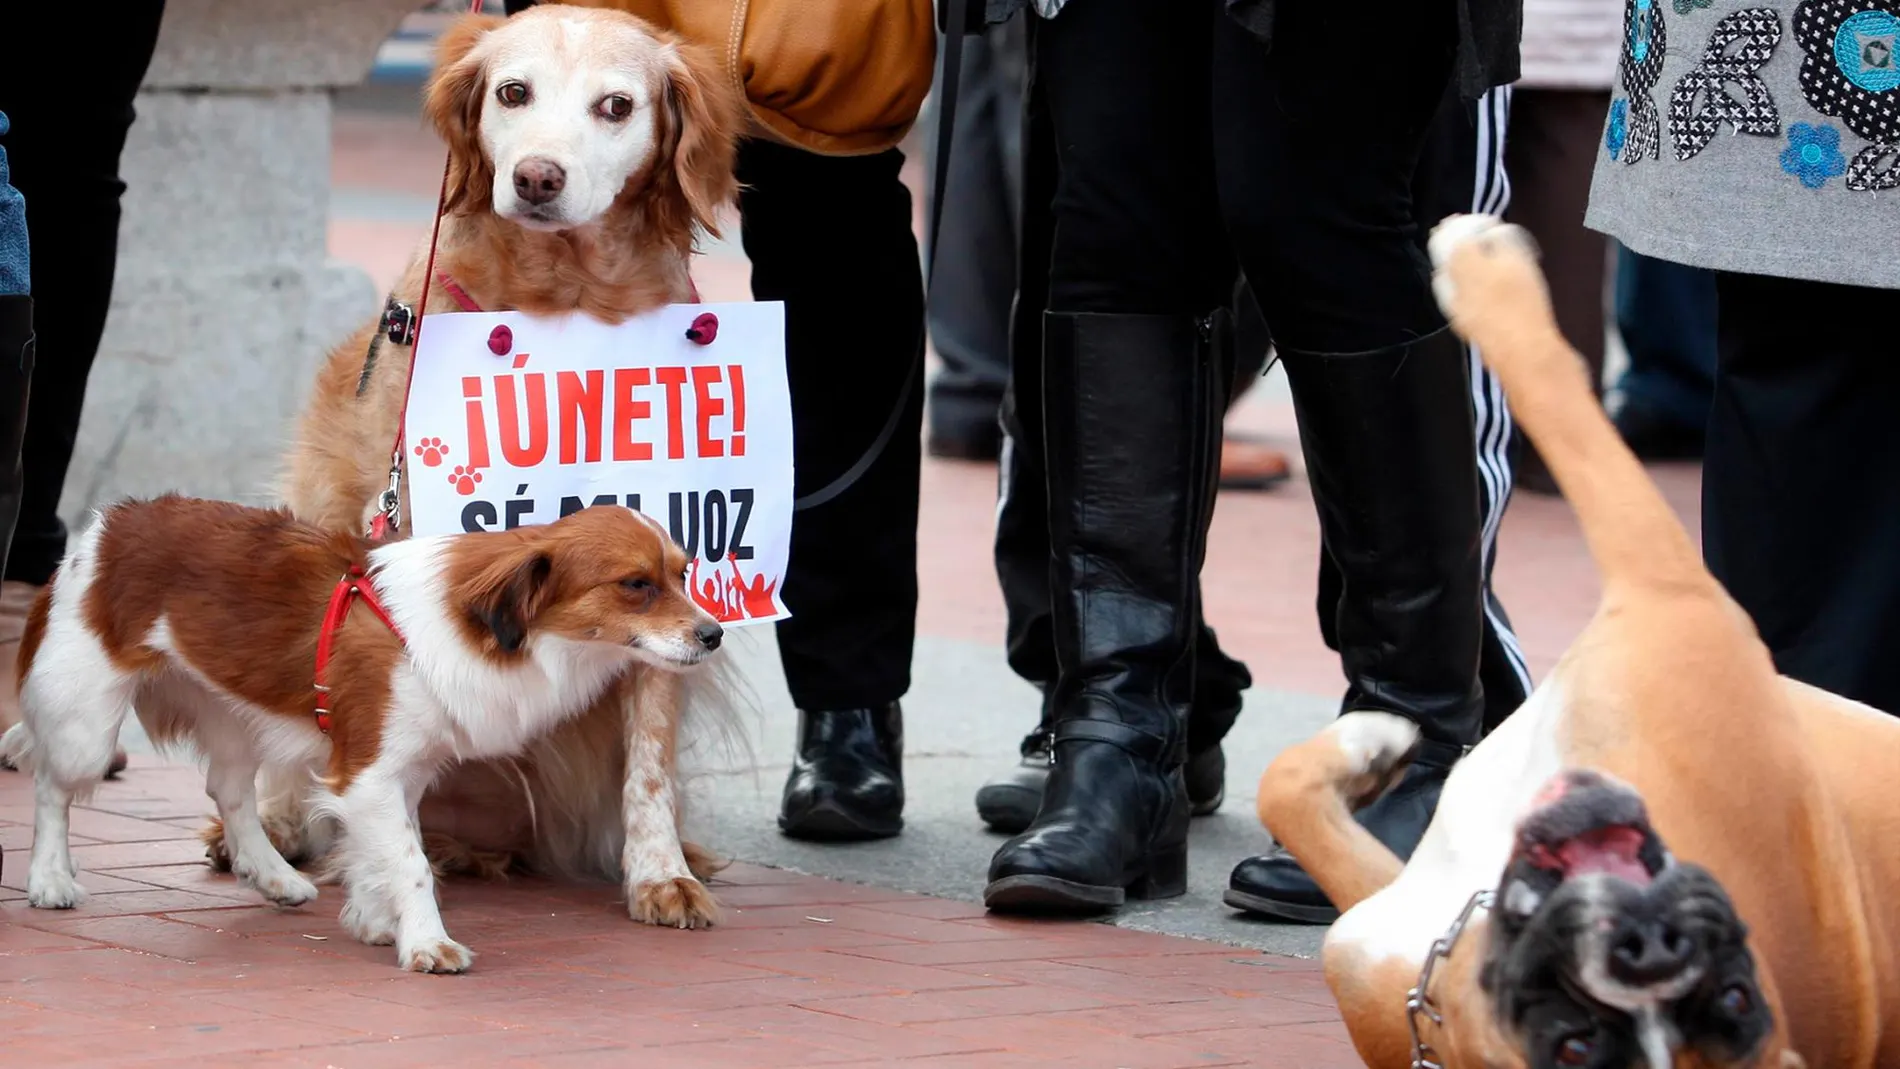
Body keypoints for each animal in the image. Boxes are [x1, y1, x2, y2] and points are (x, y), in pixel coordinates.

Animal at [0, 497, 718, 972]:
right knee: (52, 789)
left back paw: (273, 877)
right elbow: (412, 862)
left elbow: (387, 854)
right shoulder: (369, 775)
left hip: (233, 715)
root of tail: (106, 527)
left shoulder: (403, 772)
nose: (713, 633)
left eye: (682, 574)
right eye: (635, 585)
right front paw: (425, 941)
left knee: (229, 793)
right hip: (85, 729)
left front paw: (376, 920)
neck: (475, 627)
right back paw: (49, 878)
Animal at [1261, 215, 1900, 1069]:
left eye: (1735, 998)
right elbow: (1283, 787)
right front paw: (1372, 743)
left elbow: (1556, 393)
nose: (1646, 945)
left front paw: (1482, 267)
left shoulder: (1665, 578)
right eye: (1575, 1046)